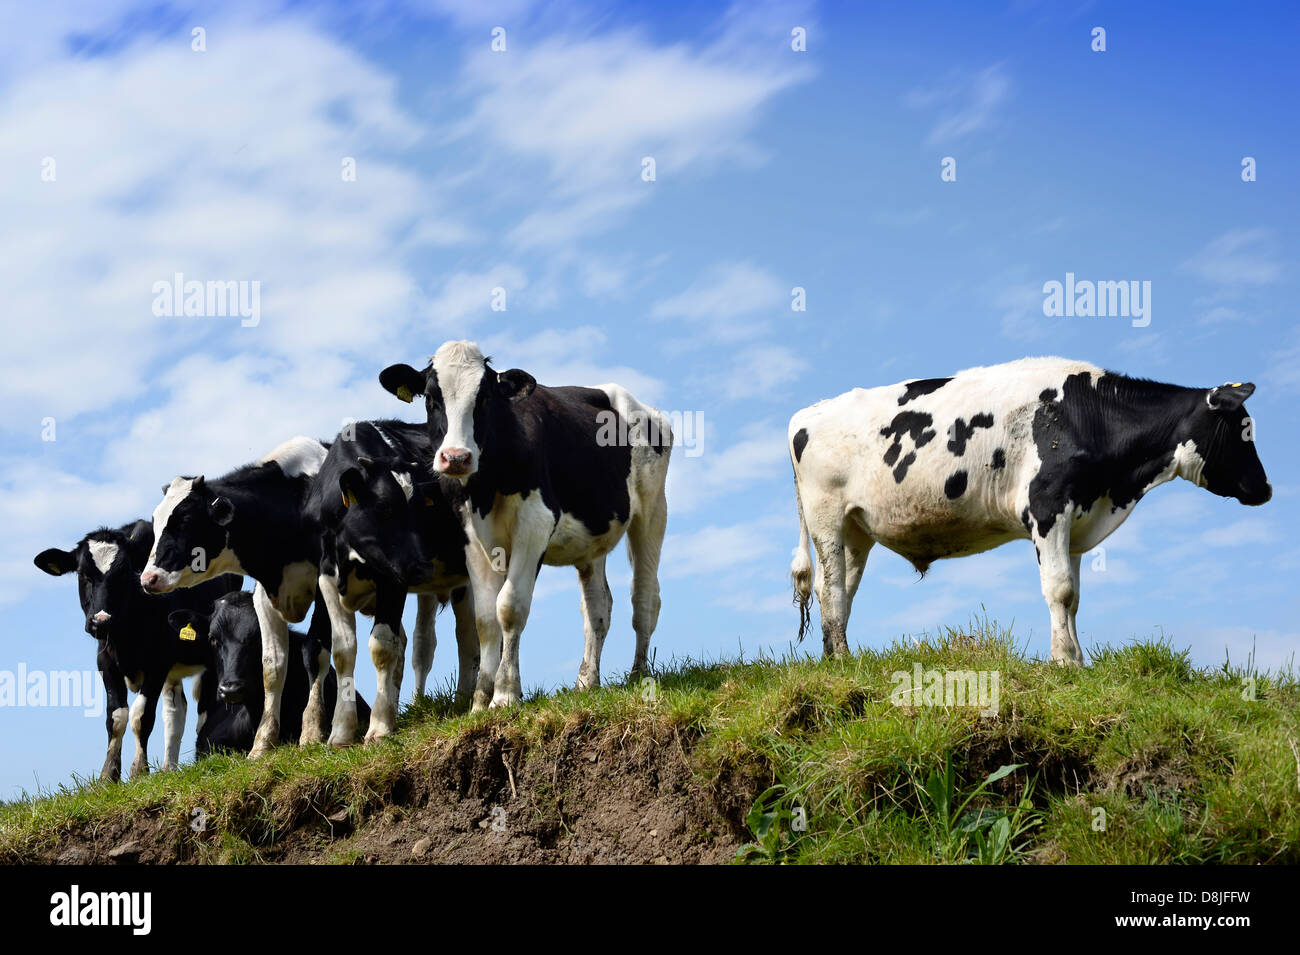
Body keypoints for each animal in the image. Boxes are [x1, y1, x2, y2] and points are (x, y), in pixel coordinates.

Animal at [35, 519, 243, 779]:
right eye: (83, 574)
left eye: (124, 573)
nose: (101, 621)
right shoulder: (105, 662)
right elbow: (116, 717)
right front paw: (109, 773)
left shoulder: (158, 662)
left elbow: (141, 716)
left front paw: (139, 770)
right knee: (175, 711)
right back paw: (168, 768)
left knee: (204, 710)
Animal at [379, 340, 676, 706]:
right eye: (432, 399)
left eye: (484, 398)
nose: (456, 458)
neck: (486, 485)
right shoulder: (471, 538)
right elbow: (485, 619)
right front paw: (480, 701)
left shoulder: (535, 524)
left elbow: (509, 607)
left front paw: (505, 694)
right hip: (593, 539)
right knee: (597, 609)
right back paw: (587, 681)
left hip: (652, 509)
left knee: (645, 597)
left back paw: (638, 675)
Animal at [785, 358, 1274, 665]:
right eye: (1245, 429)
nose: (1266, 488)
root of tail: (806, 413)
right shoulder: (1047, 505)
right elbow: (1058, 589)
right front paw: (1061, 662)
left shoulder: (1077, 518)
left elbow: (1074, 597)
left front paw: (1078, 660)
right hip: (826, 515)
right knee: (831, 589)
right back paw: (841, 660)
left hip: (856, 529)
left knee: (840, 591)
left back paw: (836, 657)